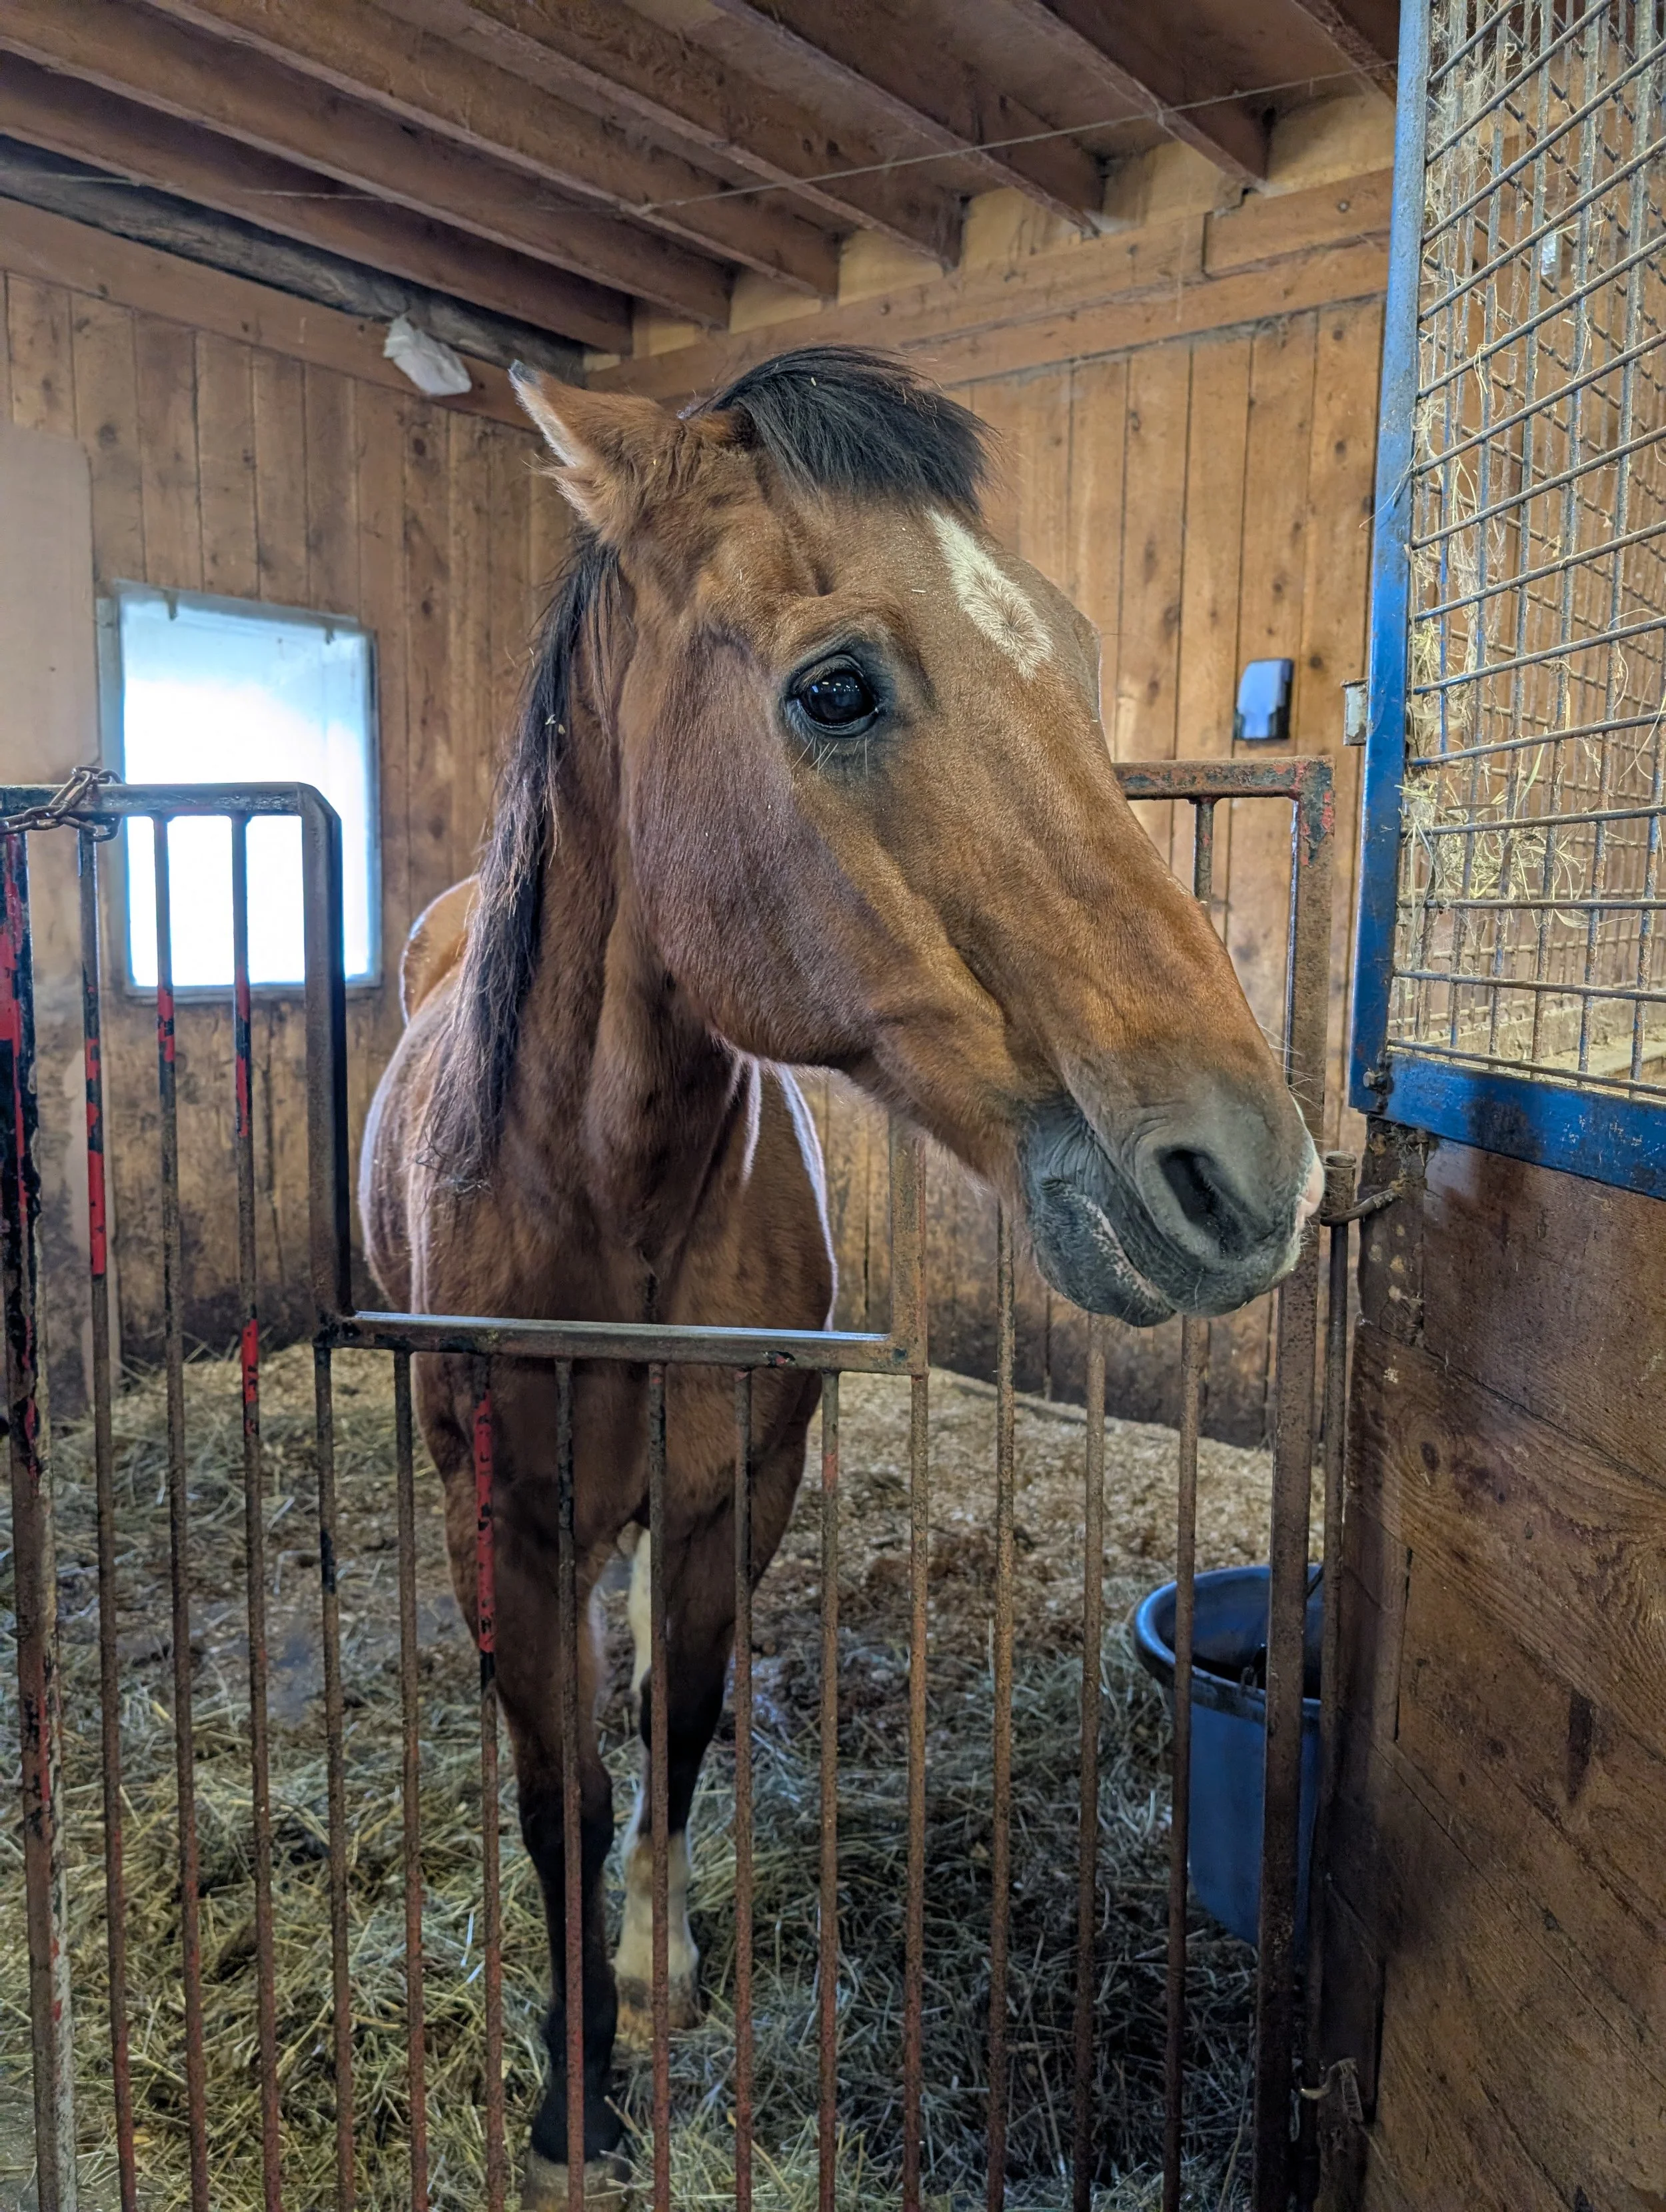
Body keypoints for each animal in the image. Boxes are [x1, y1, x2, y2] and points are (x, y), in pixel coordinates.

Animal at [360, 345, 1321, 2206]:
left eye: (1074, 652)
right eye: (837, 689)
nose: (1251, 1176)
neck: (615, 1207)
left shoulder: (733, 1498)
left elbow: (673, 1728)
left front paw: (650, 1979)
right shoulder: (510, 1526)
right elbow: (558, 1794)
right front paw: (573, 2099)